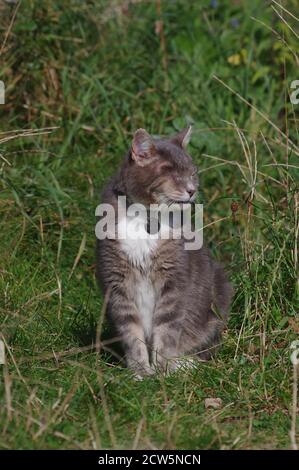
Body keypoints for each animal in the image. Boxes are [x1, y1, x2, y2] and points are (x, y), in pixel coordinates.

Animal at [96, 127, 234, 378]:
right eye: (173, 175)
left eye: (193, 173)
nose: (192, 190)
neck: (146, 217)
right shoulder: (117, 281)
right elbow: (131, 332)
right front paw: (141, 372)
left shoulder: (174, 279)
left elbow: (167, 328)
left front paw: (162, 371)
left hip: (218, 296)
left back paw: (184, 364)